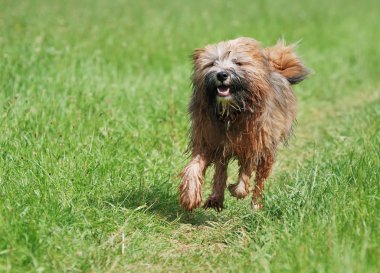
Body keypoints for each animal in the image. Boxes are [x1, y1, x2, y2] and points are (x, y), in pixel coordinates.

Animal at [179, 36, 308, 210]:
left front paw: (237, 189)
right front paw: (190, 195)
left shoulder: (253, 144)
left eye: (238, 62)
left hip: (267, 151)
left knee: (259, 180)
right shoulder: (208, 139)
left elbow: (246, 173)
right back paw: (216, 197)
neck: (231, 113)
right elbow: (194, 166)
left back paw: (256, 205)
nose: (222, 74)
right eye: (212, 63)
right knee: (221, 170)